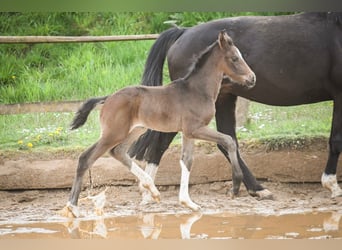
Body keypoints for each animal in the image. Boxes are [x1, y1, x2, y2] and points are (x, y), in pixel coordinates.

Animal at [65, 30, 255, 216]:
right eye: (234, 58)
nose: (252, 78)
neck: (197, 90)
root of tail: (108, 98)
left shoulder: (188, 132)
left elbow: (187, 161)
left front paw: (189, 203)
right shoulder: (195, 129)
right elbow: (228, 141)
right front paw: (235, 186)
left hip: (136, 130)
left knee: (118, 152)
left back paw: (153, 190)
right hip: (114, 133)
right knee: (86, 158)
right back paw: (72, 207)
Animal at [129, 12, 342, 203]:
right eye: (234, 58)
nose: (252, 78)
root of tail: (183, 32)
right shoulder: (339, 94)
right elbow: (336, 140)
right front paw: (332, 186)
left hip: (223, 98)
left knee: (226, 139)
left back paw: (255, 189)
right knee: (162, 142)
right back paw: (148, 191)